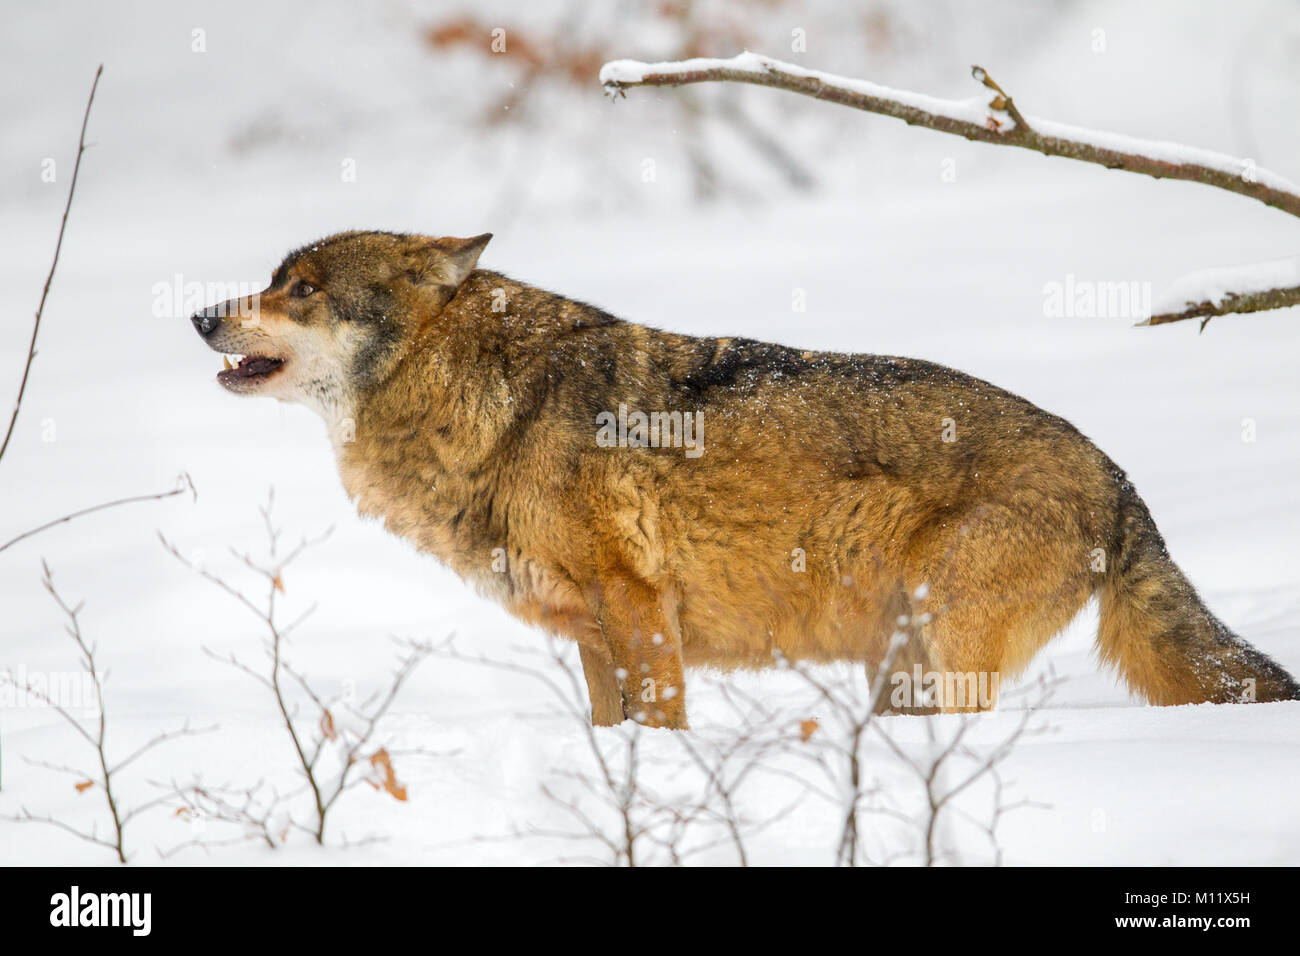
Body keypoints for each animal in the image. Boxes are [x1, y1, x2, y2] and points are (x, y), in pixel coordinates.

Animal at [192, 230, 1300, 723]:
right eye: (273, 279)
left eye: (301, 289)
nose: (201, 315)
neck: (491, 407)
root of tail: (1118, 475)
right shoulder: (591, 634)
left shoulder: (641, 607)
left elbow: (664, 721)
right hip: (898, 664)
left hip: (939, 646)